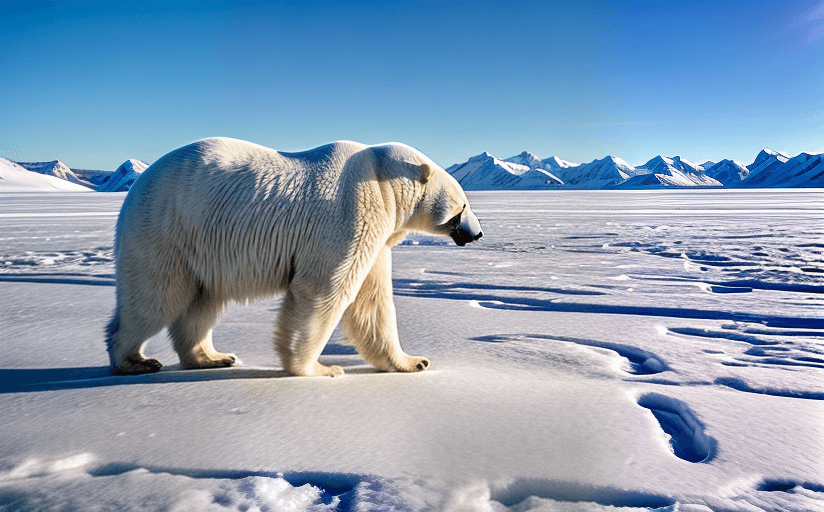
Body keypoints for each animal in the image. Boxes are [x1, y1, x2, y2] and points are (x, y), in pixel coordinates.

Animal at [105, 138, 480, 378]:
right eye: (463, 204)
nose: (477, 233)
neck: (381, 178)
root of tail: (137, 185)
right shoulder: (350, 212)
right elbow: (323, 290)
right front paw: (320, 368)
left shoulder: (378, 233)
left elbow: (372, 301)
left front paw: (413, 361)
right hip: (166, 228)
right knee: (155, 298)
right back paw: (134, 361)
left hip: (198, 247)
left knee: (201, 301)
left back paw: (213, 357)